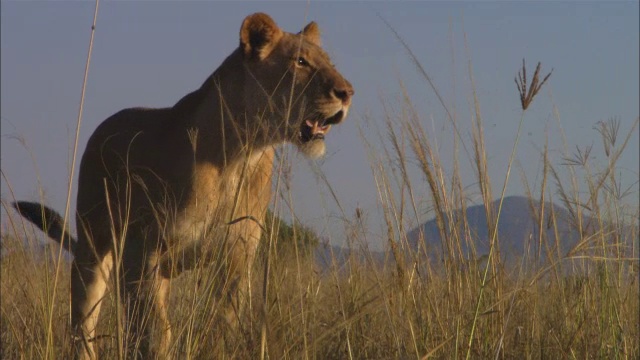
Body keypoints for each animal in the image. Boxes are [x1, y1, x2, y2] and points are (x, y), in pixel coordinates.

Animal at [12, 12, 352, 358]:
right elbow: (156, 330)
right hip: (95, 247)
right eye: (300, 62)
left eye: (328, 62)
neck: (243, 152)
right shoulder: (145, 250)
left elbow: (223, 322)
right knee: (85, 321)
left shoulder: (236, 255)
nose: (348, 92)